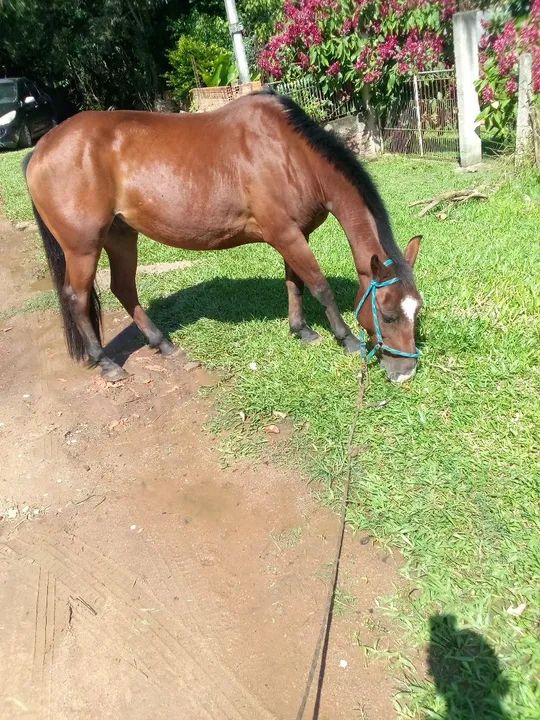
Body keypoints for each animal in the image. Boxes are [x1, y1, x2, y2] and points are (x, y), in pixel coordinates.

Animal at [23, 90, 422, 384]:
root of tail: (39, 150)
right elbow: (319, 285)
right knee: (76, 298)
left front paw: (301, 330)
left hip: (121, 237)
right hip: (83, 247)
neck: (290, 153)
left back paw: (161, 343)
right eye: (387, 315)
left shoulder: (293, 235)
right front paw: (347, 339)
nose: (406, 372)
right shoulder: (285, 234)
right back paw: (106, 363)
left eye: (416, 311)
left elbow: (294, 282)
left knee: (123, 288)